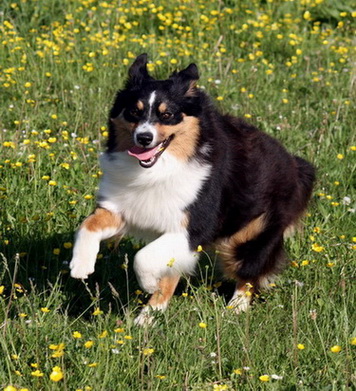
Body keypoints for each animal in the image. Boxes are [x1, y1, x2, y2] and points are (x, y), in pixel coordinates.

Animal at [69, 53, 314, 326]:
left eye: (167, 115)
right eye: (134, 111)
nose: (144, 138)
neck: (158, 169)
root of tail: (294, 163)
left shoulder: (193, 228)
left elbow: (142, 257)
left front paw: (148, 282)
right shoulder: (123, 207)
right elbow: (88, 225)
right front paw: (80, 264)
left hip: (249, 234)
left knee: (249, 271)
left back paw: (235, 308)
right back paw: (146, 319)